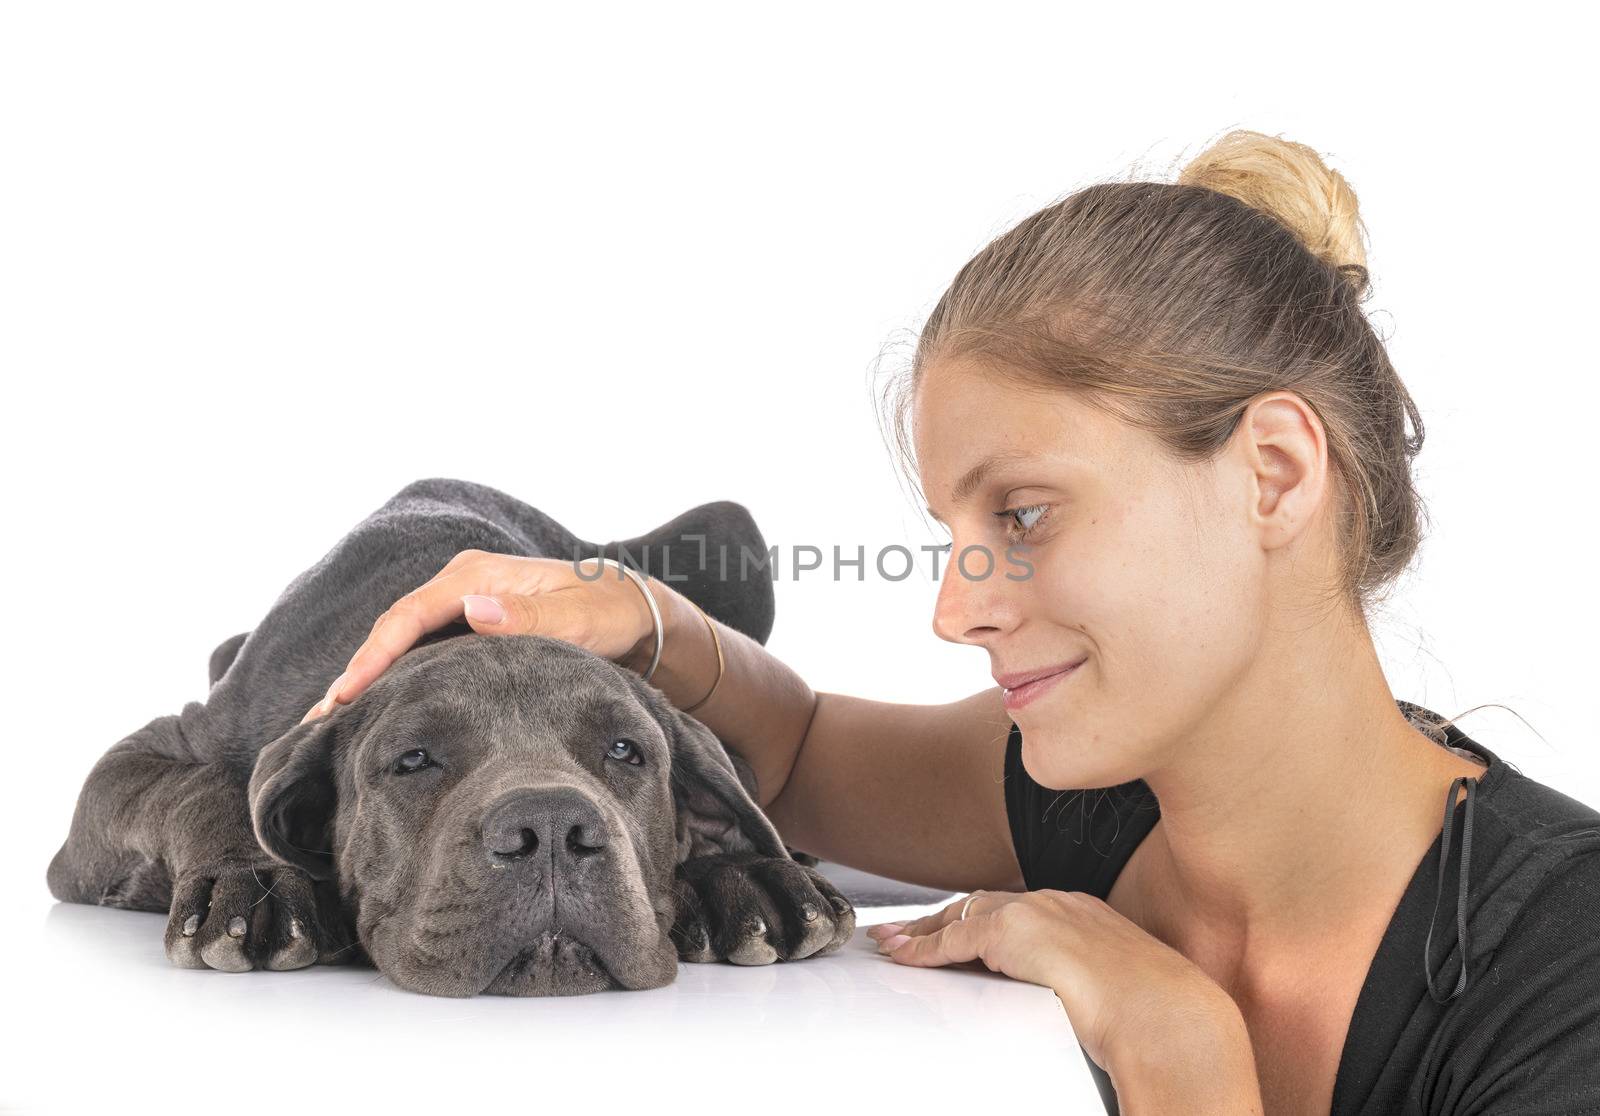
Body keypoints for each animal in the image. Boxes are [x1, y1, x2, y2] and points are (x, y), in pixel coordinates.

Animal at [46, 476, 851, 991]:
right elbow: (203, 786)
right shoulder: (141, 765)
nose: (549, 828)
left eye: (626, 751)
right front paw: (254, 879)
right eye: (413, 760)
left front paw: (741, 873)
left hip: (729, 530)